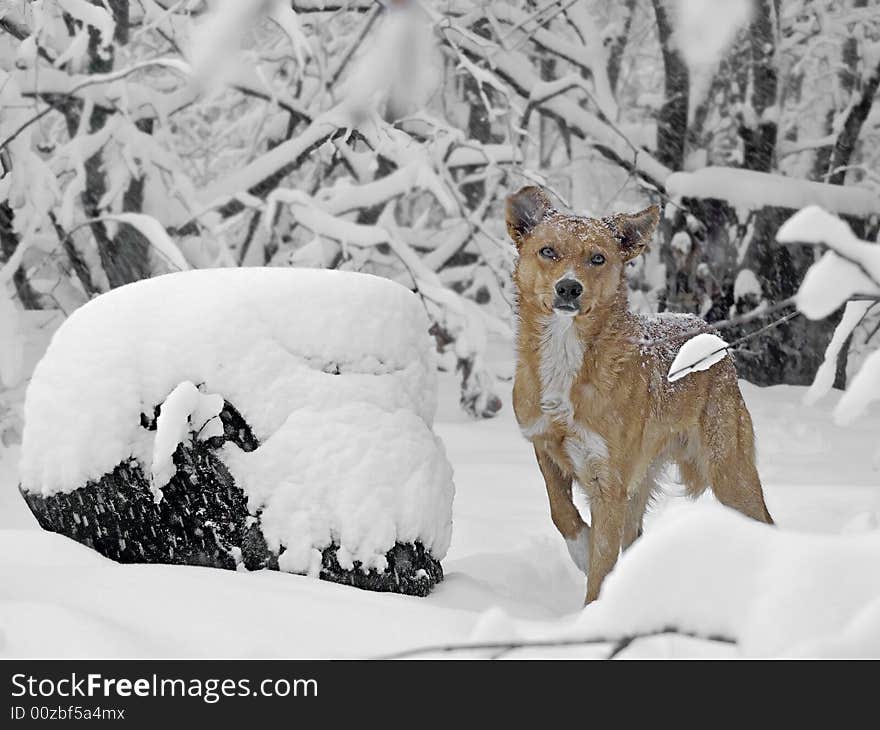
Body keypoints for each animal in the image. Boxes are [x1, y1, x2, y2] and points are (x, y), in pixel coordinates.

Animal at [506, 186, 772, 604]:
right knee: (633, 538)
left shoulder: (608, 482)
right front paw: (581, 548)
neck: (567, 356)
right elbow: (560, 510)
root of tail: (706, 329)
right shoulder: (545, 446)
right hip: (641, 481)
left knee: (764, 520)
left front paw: (592, 609)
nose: (569, 288)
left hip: (728, 470)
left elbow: (602, 561)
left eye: (597, 258)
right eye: (548, 251)